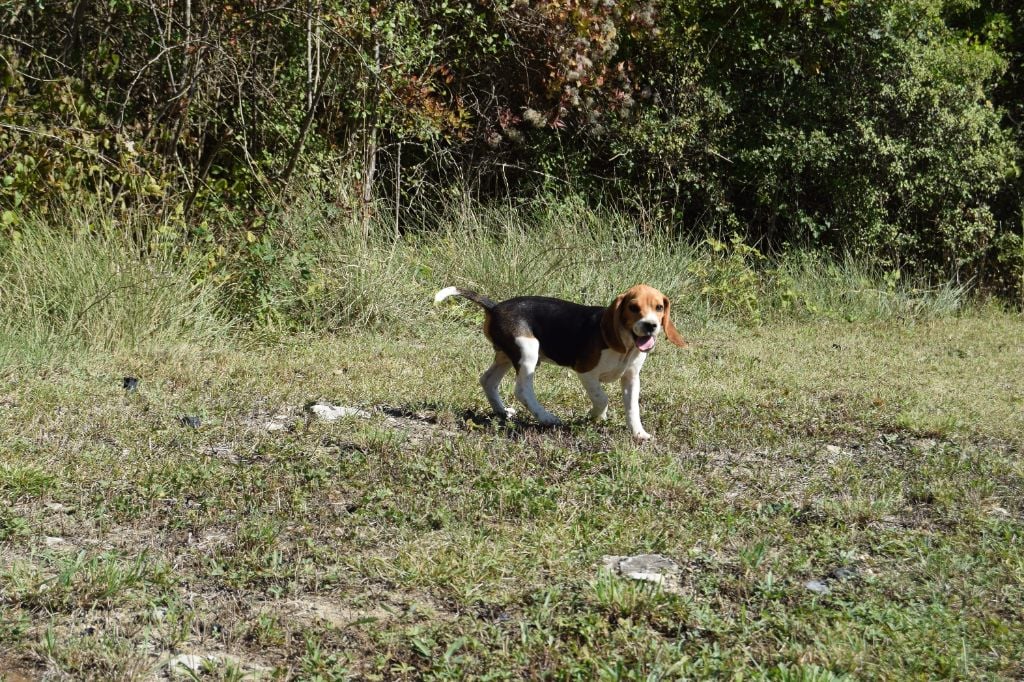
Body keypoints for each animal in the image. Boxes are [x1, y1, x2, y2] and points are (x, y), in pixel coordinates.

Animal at [434, 282, 688, 438]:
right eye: (633, 308)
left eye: (659, 307)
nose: (650, 325)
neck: (625, 346)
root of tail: (495, 306)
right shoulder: (585, 372)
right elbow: (602, 398)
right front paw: (595, 416)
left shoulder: (631, 378)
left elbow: (632, 408)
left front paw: (638, 433)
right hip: (528, 351)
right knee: (522, 391)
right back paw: (547, 418)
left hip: (506, 355)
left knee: (487, 380)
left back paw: (503, 412)